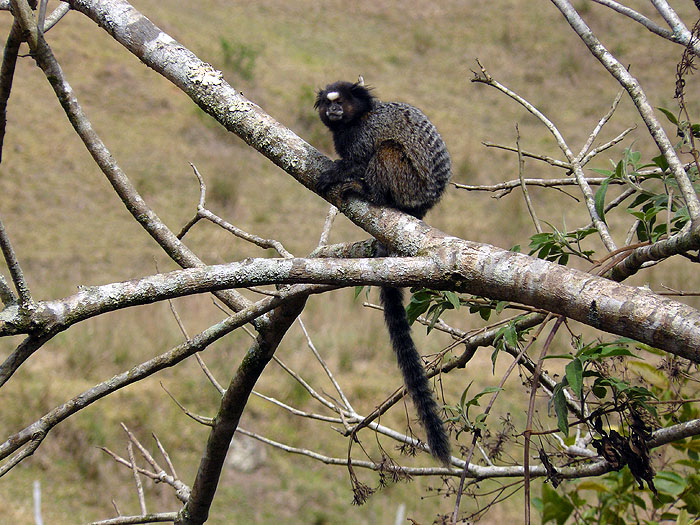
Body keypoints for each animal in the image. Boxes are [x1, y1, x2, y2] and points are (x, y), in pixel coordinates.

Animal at [314, 79, 452, 462]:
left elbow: (359, 159)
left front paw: (339, 173)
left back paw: (370, 191)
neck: (353, 121)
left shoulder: (364, 135)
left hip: (408, 183)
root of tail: (424, 205)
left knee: (386, 152)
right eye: (328, 103)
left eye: (341, 103)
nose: (333, 111)